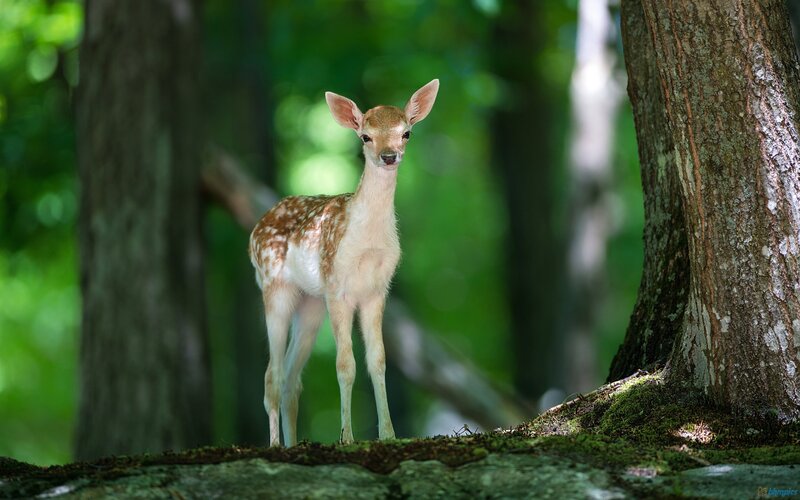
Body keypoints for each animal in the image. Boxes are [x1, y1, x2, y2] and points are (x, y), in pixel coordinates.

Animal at [249, 80, 439, 447]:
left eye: (406, 132)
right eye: (365, 136)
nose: (389, 156)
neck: (367, 242)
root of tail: (255, 230)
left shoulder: (377, 291)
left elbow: (377, 361)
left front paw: (389, 435)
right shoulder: (337, 287)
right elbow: (345, 364)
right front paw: (347, 437)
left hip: (311, 303)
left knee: (291, 378)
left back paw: (293, 443)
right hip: (274, 287)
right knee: (271, 374)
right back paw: (276, 445)